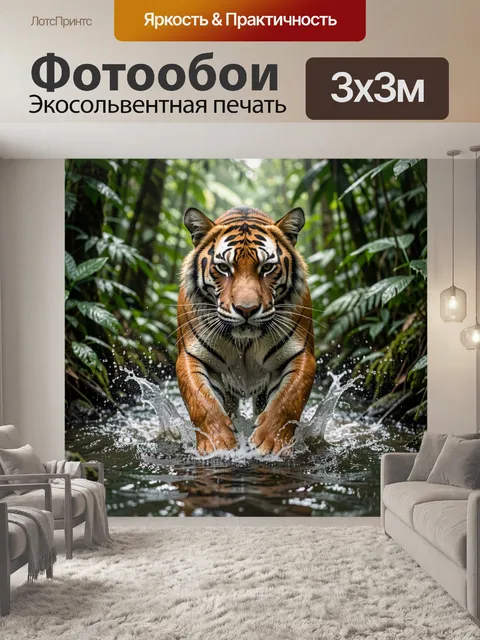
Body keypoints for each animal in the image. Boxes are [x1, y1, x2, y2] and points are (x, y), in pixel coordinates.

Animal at [176, 205, 316, 456]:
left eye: (267, 267)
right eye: (223, 268)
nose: (246, 309)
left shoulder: (300, 354)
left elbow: (288, 400)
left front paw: (269, 444)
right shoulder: (191, 355)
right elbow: (201, 402)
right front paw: (218, 444)